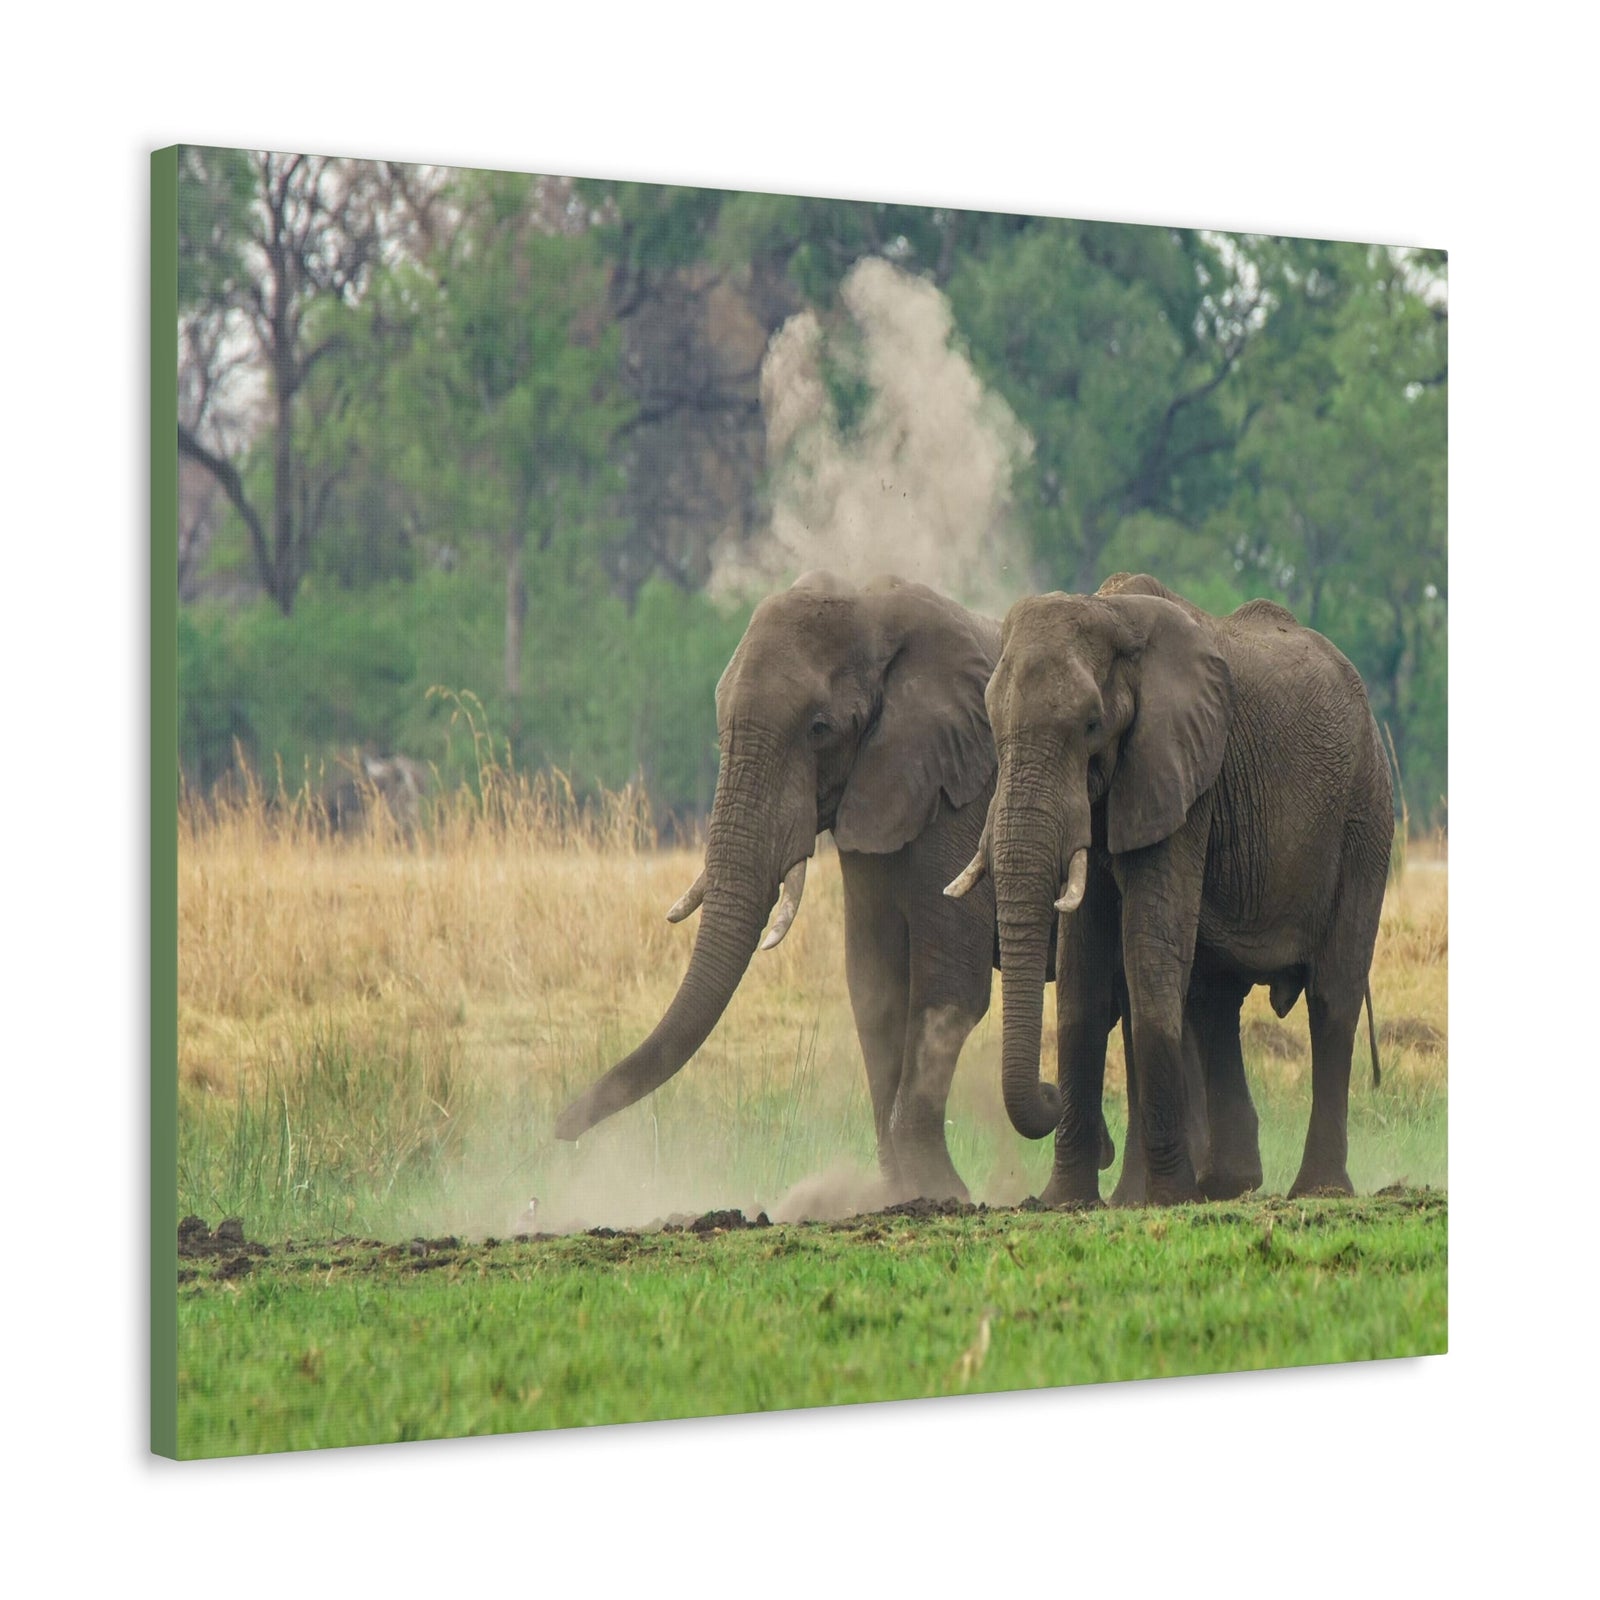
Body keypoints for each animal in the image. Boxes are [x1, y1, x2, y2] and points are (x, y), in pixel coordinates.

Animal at [554, 570, 1094, 1203]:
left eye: (819, 729)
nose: (561, 1131)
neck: (877, 608)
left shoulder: (960, 792)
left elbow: (947, 986)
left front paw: (942, 1192)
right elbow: (874, 986)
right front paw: (899, 1194)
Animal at [947, 573, 1392, 1206]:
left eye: (1090, 726)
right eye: (991, 725)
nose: (1049, 1094)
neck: (1111, 614)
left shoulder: (1182, 778)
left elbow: (1147, 949)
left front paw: (1161, 1198)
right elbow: (1084, 973)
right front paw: (1068, 1202)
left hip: (1365, 816)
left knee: (1333, 994)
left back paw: (1316, 1192)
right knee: (1213, 1001)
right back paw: (1227, 1185)